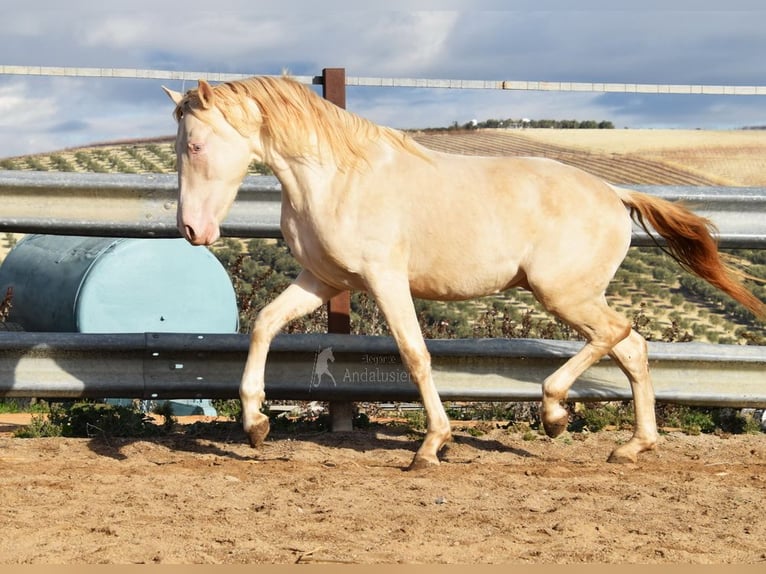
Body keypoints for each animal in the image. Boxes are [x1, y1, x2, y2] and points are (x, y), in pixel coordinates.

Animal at [164, 77, 766, 472]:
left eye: (194, 144)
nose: (191, 230)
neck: (336, 178)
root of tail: (615, 194)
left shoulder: (384, 279)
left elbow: (414, 354)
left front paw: (432, 446)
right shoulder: (325, 281)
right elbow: (264, 324)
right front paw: (256, 427)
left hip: (563, 294)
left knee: (618, 335)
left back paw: (555, 413)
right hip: (574, 296)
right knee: (633, 347)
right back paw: (632, 446)